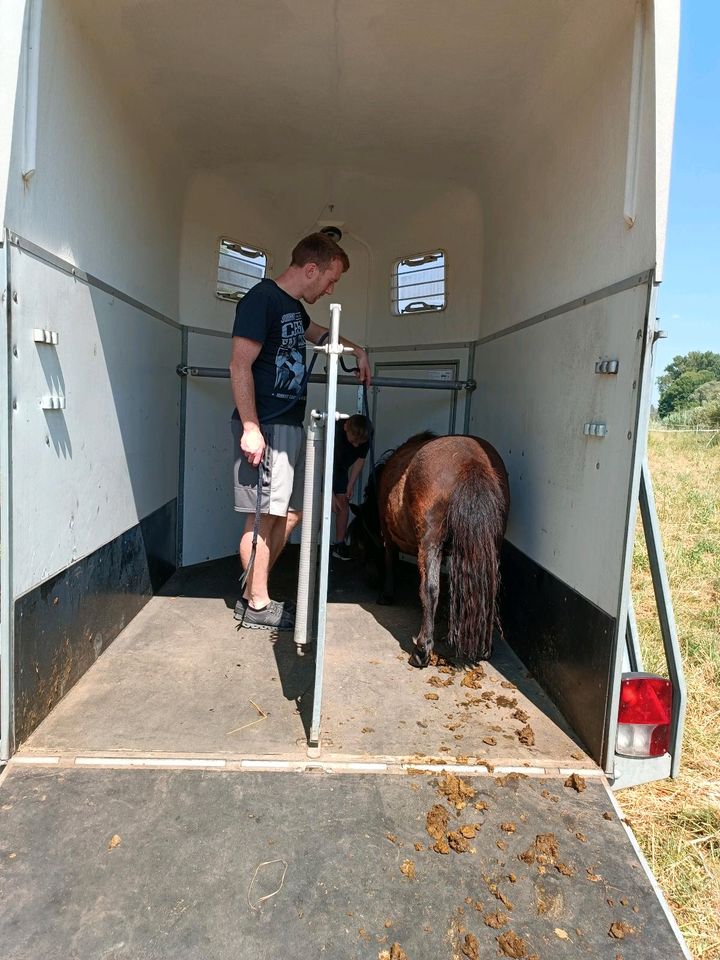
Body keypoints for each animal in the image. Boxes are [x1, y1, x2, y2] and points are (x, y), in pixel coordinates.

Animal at [348, 436, 506, 668]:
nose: (370, 579)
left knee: (430, 589)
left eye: (358, 537)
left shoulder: (388, 536)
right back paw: (485, 647)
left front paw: (386, 594)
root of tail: (471, 462)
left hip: (430, 541)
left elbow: (391, 560)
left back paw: (421, 650)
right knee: (489, 586)